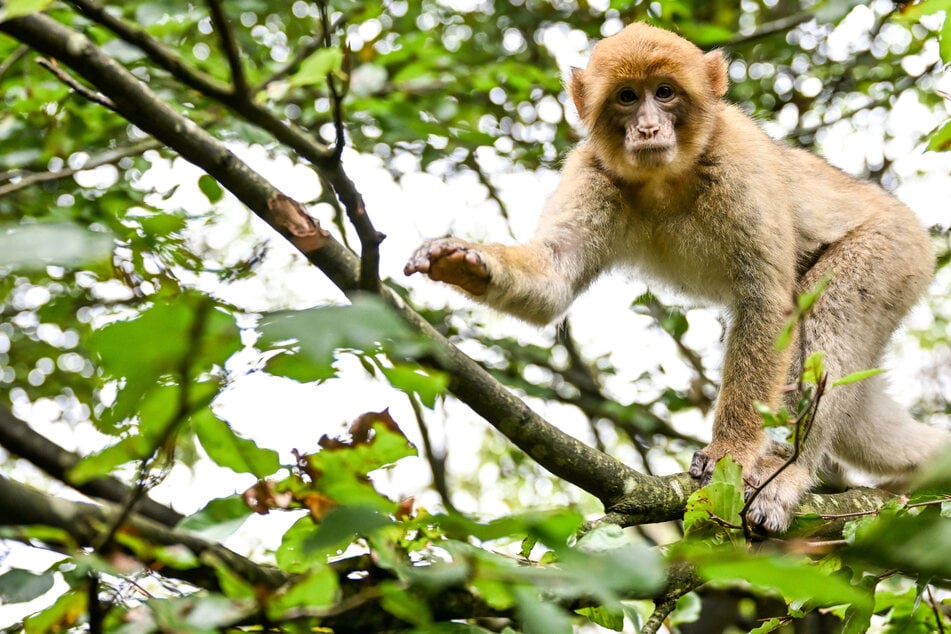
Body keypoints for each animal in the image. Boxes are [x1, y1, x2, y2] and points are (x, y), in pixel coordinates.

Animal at [402, 22, 944, 532]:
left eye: (664, 92)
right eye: (627, 96)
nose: (647, 127)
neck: (666, 176)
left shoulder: (740, 163)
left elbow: (768, 303)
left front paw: (730, 451)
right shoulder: (592, 170)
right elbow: (553, 279)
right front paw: (464, 260)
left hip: (892, 252)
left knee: (827, 321)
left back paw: (785, 474)